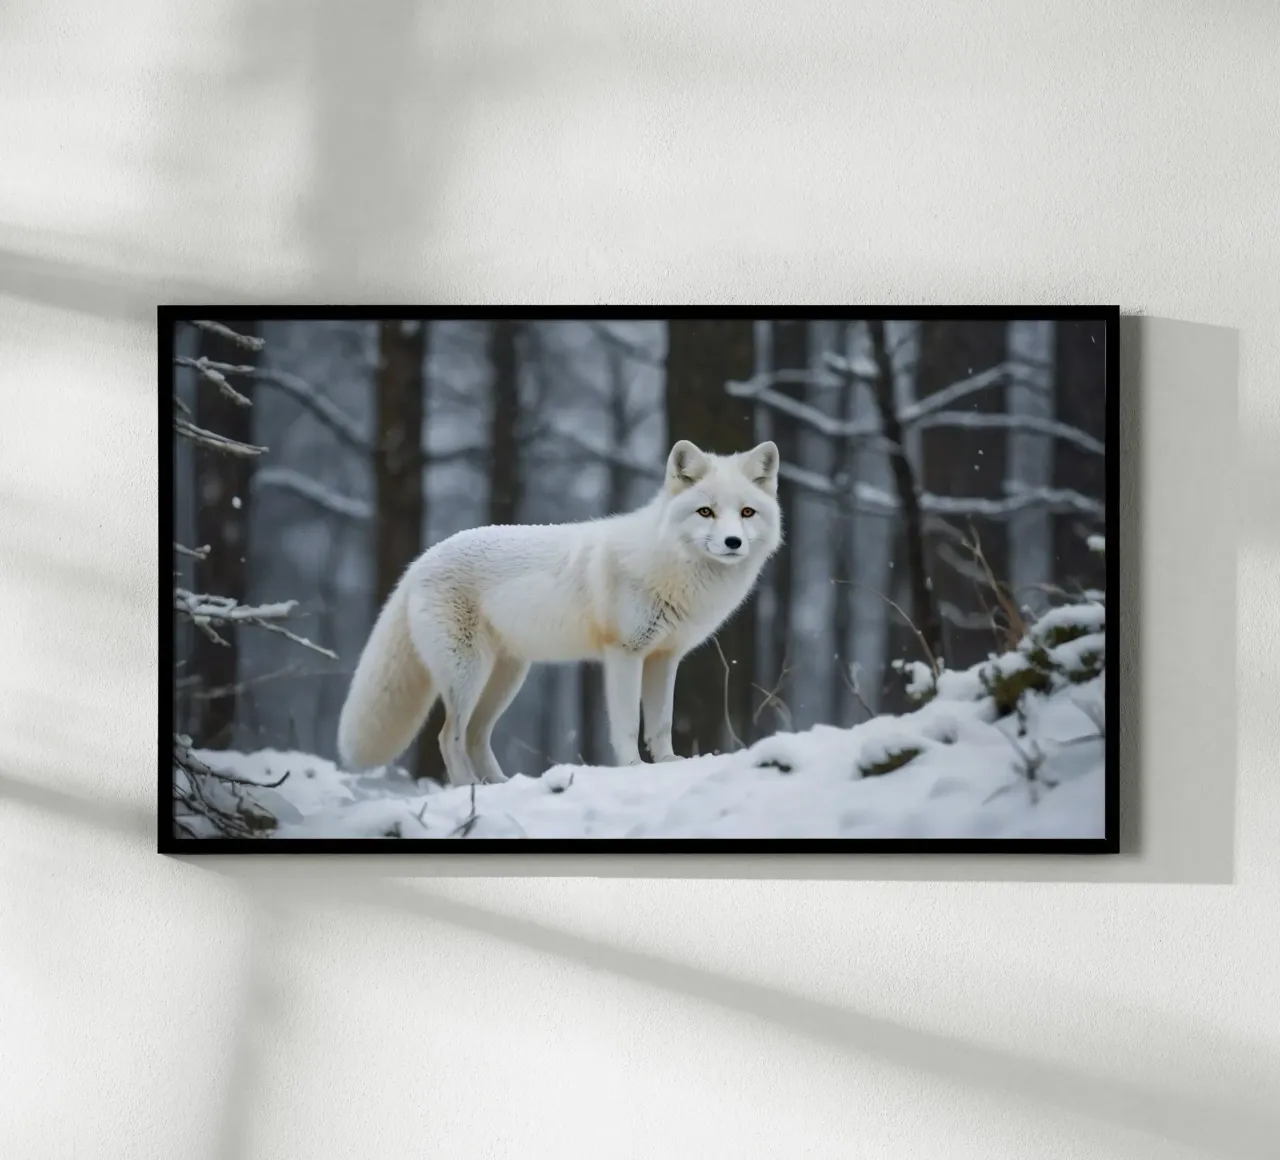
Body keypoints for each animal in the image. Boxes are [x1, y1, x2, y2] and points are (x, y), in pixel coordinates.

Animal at [336, 438, 783, 786]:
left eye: (747, 513)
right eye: (706, 512)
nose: (732, 542)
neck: (667, 566)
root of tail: (421, 561)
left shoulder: (664, 658)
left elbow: (661, 724)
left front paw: (670, 764)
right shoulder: (624, 655)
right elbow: (627, 725)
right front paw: (633, 768)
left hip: (506, 678)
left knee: (477, 736)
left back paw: (501, 784)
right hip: (468, 674)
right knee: (450, 737)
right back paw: (470, 789)